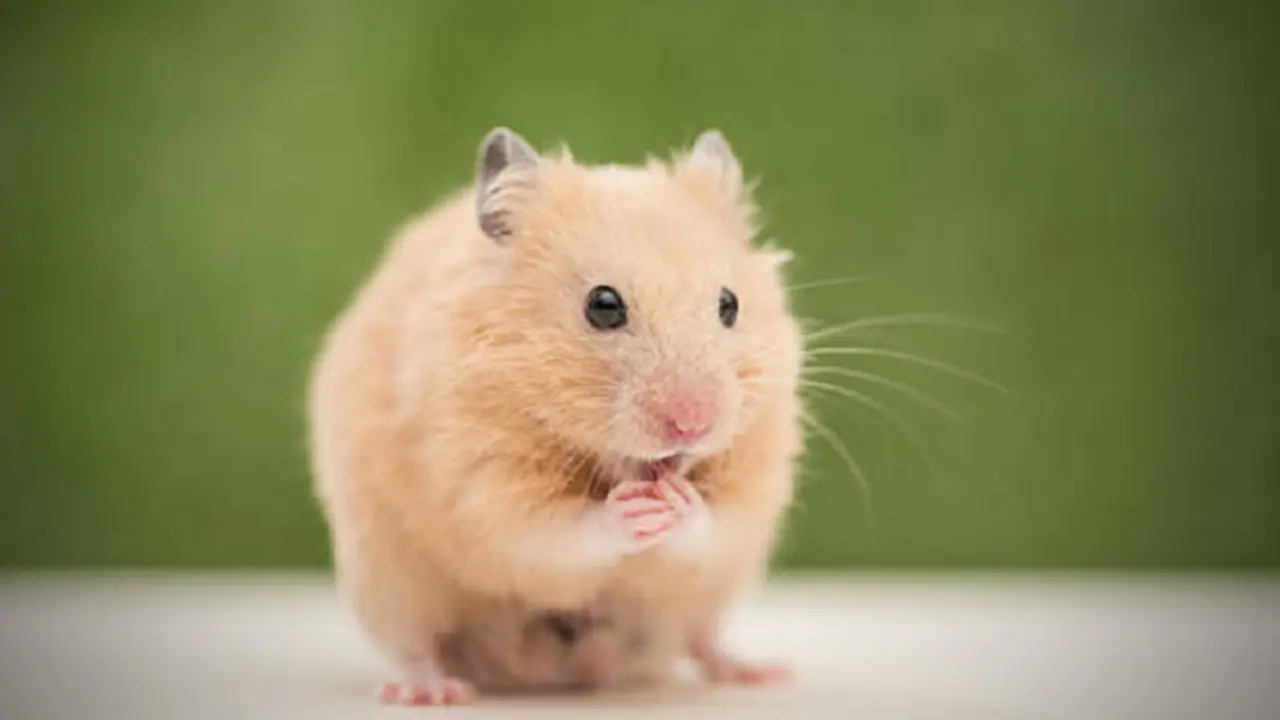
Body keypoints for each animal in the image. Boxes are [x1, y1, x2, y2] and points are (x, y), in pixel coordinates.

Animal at [306, 125, 805, 705]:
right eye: (603, 306)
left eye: (730, 305)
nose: (693, 423)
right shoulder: (482, 484)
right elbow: (555, 533)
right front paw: (633, 508)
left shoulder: (757, 480)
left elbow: (718, 522)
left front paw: (678, 502)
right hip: (387, 574)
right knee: (412, 644)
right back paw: (432, 691)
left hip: (707, 597)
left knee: (700, 639)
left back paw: (759, 671)